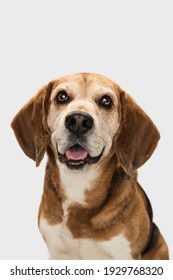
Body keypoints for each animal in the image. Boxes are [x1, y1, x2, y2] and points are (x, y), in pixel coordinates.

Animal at [11, 72, 168, 260]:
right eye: (61, 97)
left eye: (106, 101)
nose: (78, 121)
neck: (78, 185)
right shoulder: (57, 252)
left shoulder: (124, 254)